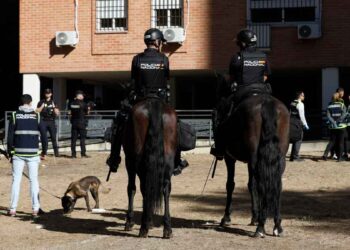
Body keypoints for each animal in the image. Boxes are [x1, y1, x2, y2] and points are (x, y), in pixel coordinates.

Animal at [119, 97, 178, 238]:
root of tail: (153, 103)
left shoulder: (129, 162)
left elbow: (131, 189)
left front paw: (130, 221)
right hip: (168, 160)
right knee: (165, 189)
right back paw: (167, 228)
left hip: (137, 161)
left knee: (145, 188)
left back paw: (144, 227)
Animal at [219, 93, 290, 237]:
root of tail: (267, 102)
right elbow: (251, 185)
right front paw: (254, 217)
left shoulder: (230, 158)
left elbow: (230, 185)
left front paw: (226, 217)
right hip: (278, 159)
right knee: (277, 185)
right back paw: (277, 225)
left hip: (254, 158)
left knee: (262, 185)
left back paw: (261, 227)